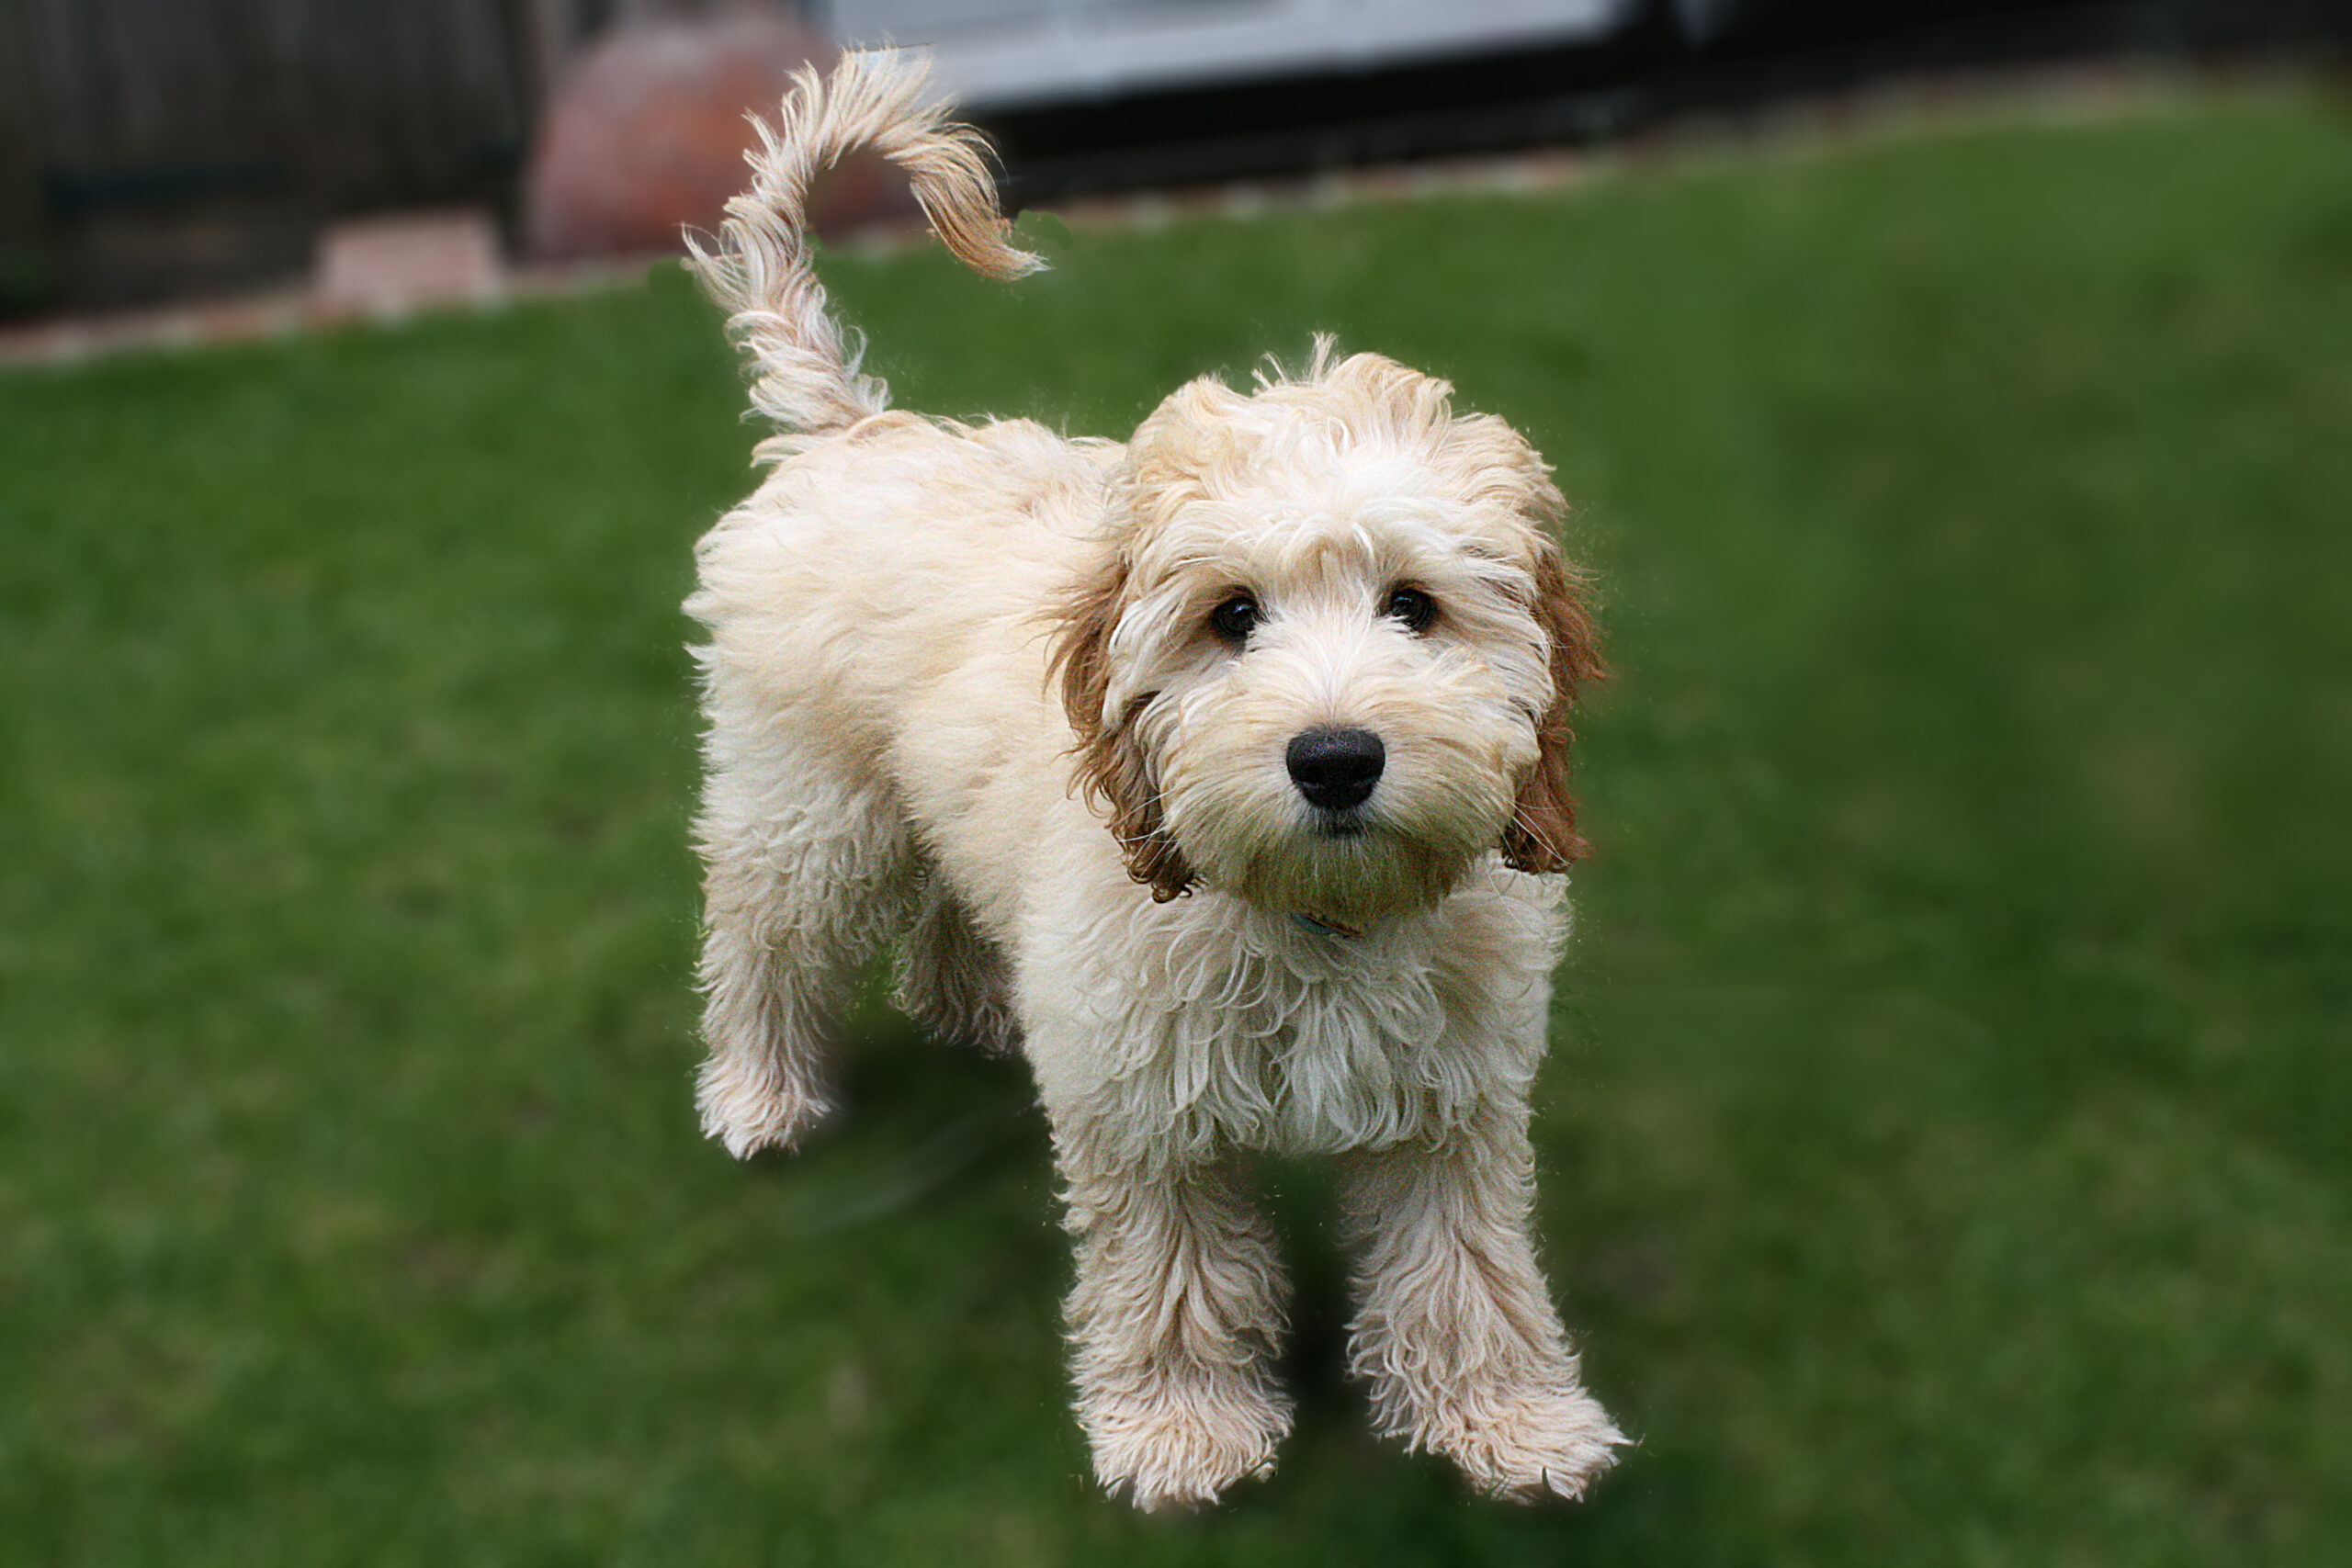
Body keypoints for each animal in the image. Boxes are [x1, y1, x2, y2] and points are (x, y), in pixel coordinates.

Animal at [686, 55, 1627, 1514]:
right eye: (1230, 617)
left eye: (1414, 606)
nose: (1336, 757)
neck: (1310, 923)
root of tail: (857, 432)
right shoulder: (1148, 1120)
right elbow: (1176, 1276)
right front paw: (1186, 1436)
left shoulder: (1453, 1111)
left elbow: (1466, 1267)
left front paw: (1510, 1421)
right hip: (808, 801)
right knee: (758, 936)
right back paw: (759, 1095)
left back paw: (971, 1006)